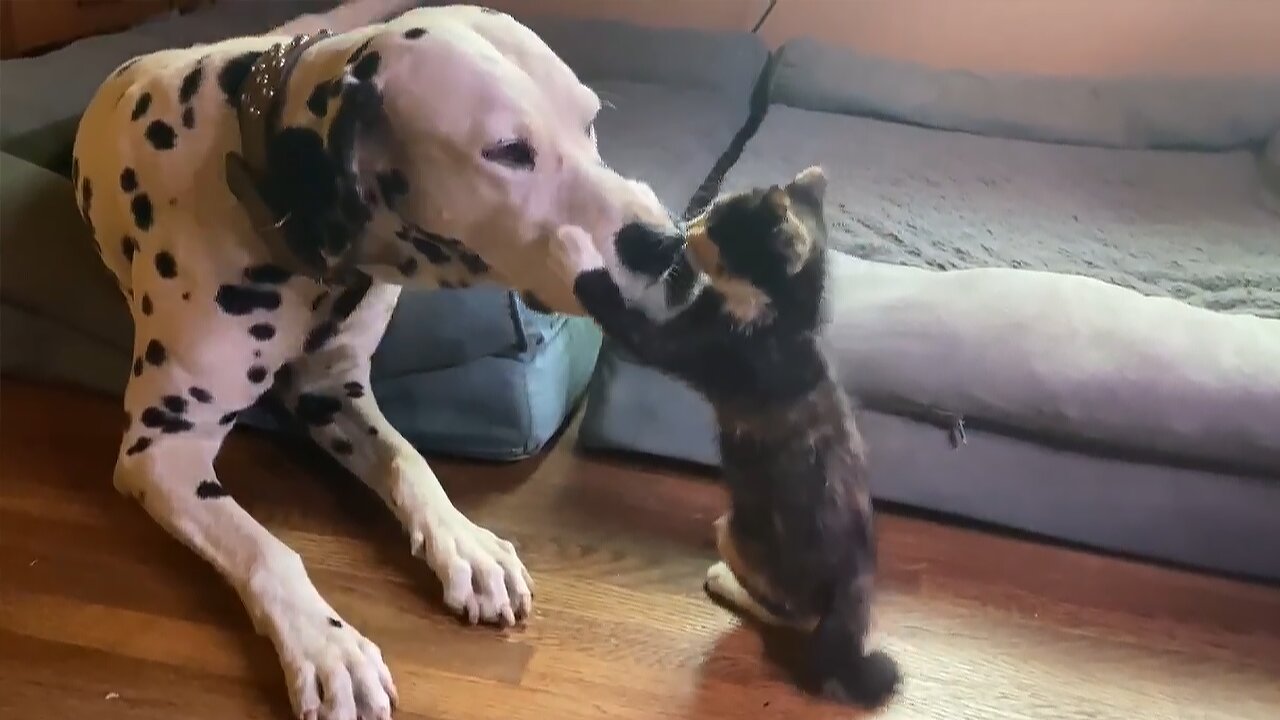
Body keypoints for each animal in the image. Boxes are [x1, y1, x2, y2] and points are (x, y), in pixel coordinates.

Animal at [72, 5, 680, 717]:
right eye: (507, 152)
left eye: (589, 122)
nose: (665, 242)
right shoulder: (163, 449)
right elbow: (267, 549)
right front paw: (326, 646)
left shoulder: (334, 392)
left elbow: (407, 460)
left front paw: (463, 541)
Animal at [550, 166, 901, 707]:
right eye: (711, 213)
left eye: (716, 231)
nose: (684, 228)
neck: (775, 314)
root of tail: (853, 583)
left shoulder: (699, 346)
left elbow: (630, 319)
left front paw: (581, 254)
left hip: (742, 533)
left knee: (793, 611)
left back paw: (726, 583)